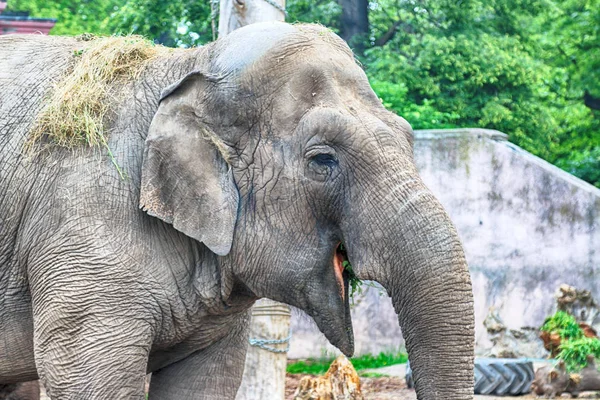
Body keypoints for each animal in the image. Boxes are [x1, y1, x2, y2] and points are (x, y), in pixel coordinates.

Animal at [0, 22, 476, 400]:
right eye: (323, 160)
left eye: (408, 137)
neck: (187, 64)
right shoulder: (81, 236)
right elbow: (88, 379)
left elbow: (208, 380)